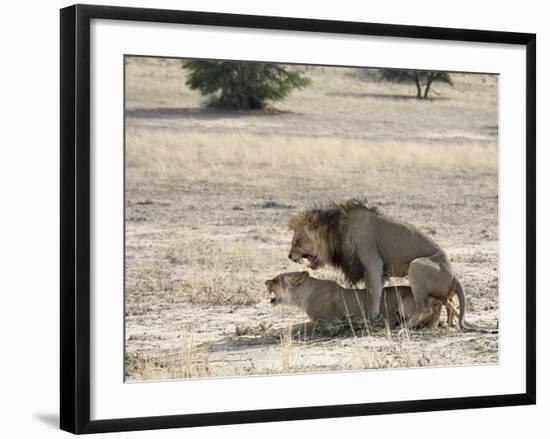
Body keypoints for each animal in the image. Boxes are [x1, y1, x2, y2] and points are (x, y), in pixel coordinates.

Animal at [264, 272, 448, 330]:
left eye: (276, 280)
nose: (266, 282)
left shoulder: (330, 321)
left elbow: (298, 325)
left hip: (406, 303)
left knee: (432, 307)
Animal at [288, 199, 466, 330]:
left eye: (297, 241)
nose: (289, 256)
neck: (338, 231)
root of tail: (454, 277)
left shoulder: (373, 263)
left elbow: (373, 294)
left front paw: (371, 320)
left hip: (416, 266)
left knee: (424, 307)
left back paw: (404, 327)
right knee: (448, 303)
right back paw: (449, 323)